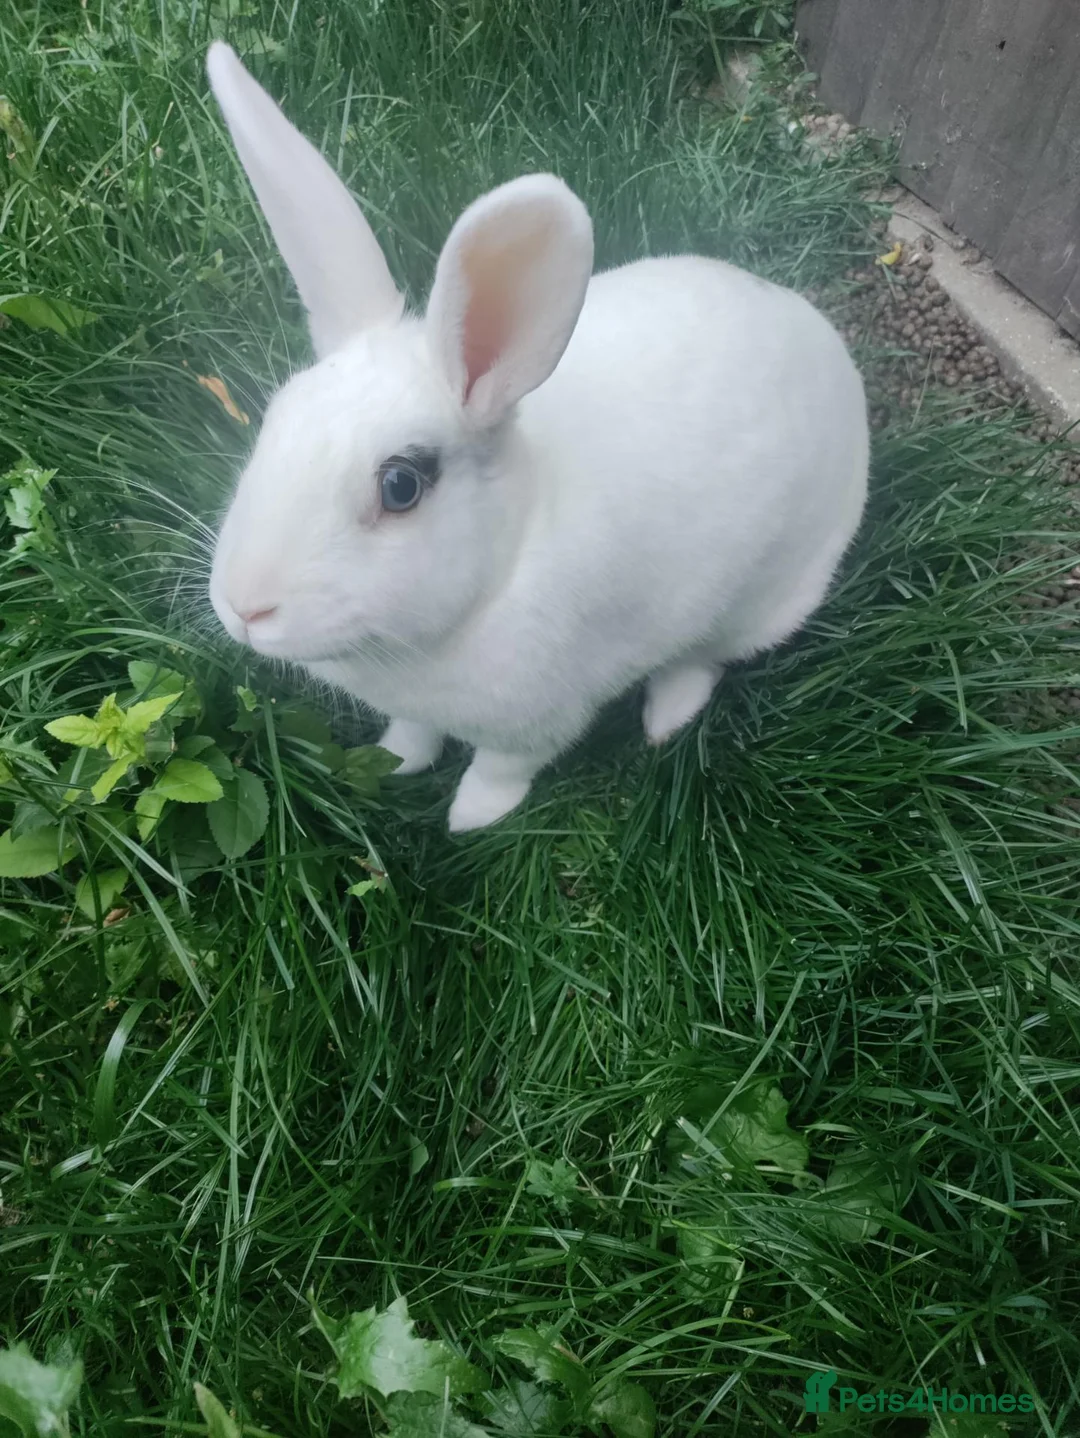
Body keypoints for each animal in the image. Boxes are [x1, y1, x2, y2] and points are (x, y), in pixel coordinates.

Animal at [205, 43, 869, 833]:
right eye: (274, 420)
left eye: (401, 485)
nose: (245, 607)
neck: (503, 562)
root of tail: (826, 343)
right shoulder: (419, 708)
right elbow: (413, 734)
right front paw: (398, 763)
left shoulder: (539, 721)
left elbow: (503, 769)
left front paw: (470, 818)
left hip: (760, 602)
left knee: (702, 660)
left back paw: (666, 719)